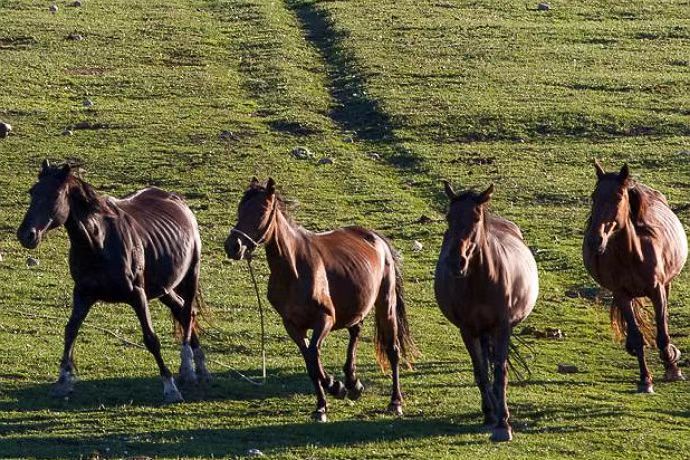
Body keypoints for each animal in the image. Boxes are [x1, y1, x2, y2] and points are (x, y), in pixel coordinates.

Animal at [17, 161, 208, 402]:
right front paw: (63, 381)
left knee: (187, 311)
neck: (99, 244)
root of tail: (179, 202)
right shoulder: (83, 293)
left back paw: (188, 368)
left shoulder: (138, 295)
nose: (26, 234)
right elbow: (70, 330)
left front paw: (170, 388)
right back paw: (200, 367)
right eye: (33, 192)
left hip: (190, 276)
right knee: (182, 310)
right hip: (163, 288)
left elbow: (151, 339)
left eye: (56, 194)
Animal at [224, 178, 414, 422]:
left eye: (261, 210)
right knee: (355, 331)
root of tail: (376, 238)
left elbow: (314, 353)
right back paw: (353, 383)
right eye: (240, 209)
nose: (233, 246)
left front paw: (335, 387)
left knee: (392, 350)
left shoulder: (325, 319)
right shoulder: (292, 325)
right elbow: (310, 362)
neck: (293, 270)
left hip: (385, 303)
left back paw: (395, 402)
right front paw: (323, 405)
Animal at [580, 161, 684, 392]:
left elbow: (662, 335)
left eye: (619, 197)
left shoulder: (657, 290)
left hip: (667, 285)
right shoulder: (621, 294)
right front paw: (645, 380)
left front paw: (672, 365)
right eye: (594, 196)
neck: (632, 255)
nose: (595, 240)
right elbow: (637, 337)